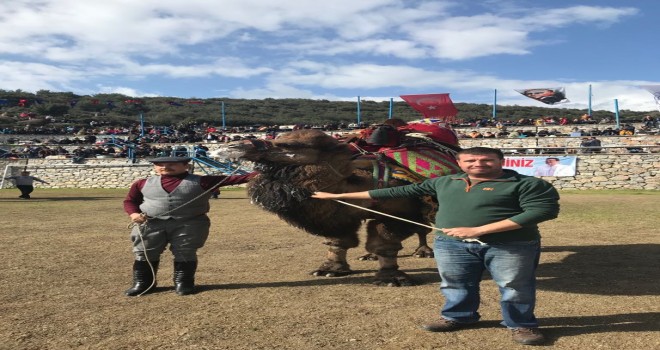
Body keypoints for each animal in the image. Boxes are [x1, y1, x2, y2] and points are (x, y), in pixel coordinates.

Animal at [236, 127, 458, 286]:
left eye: (289, 146)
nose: (242, 145)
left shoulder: (401, 211)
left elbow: (385, 242)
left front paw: (392, 278)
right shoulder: (341, 214)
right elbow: (338, 240)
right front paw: (329, 269)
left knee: (423, 228)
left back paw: (424, 251)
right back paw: (368, 257)